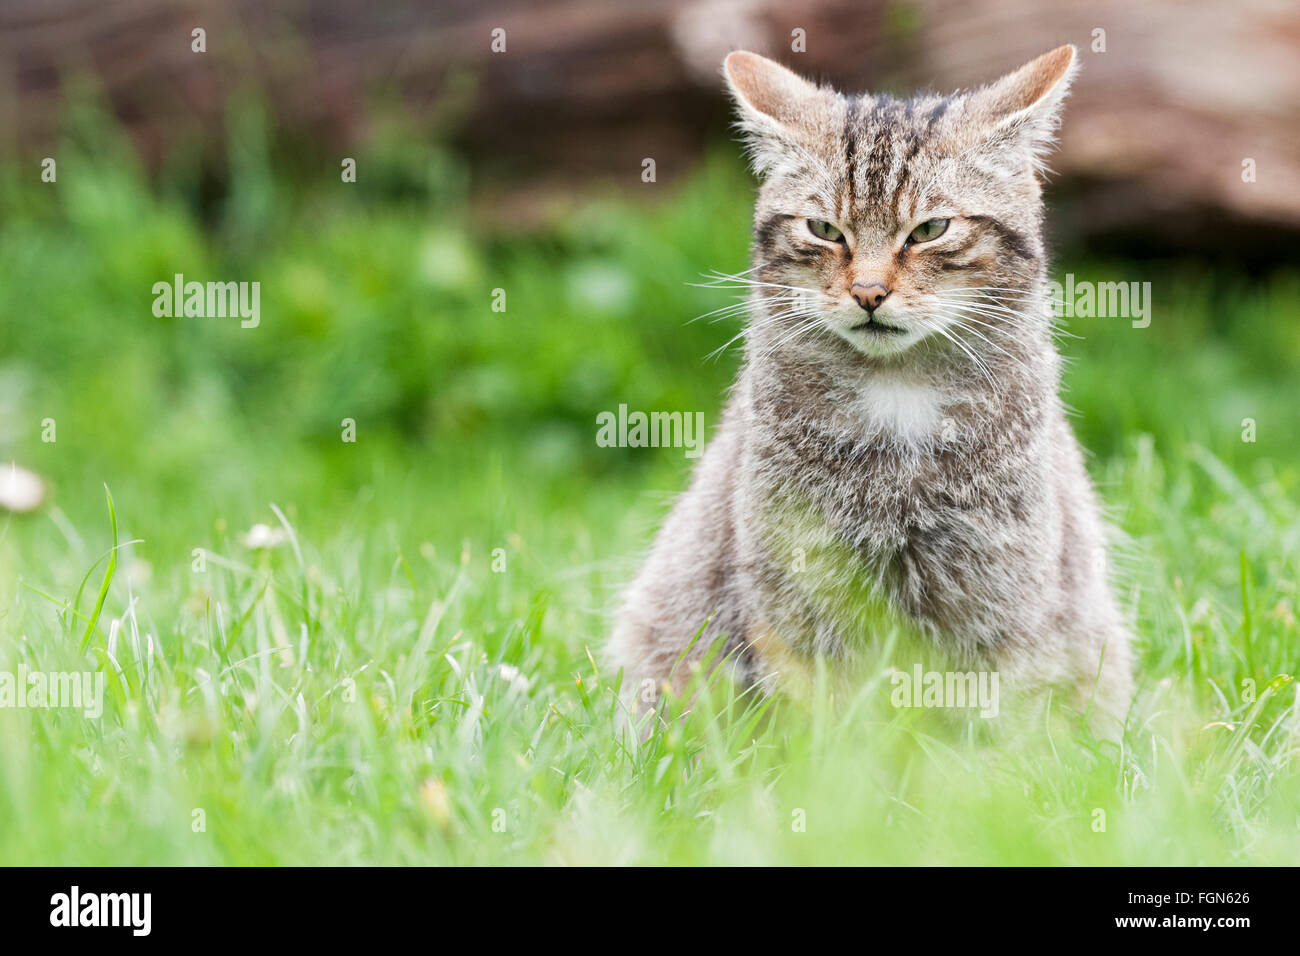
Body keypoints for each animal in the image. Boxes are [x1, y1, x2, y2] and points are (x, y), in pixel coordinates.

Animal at [603, 42, 1133, 733]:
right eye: (825, 230)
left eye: (930, 229)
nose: (868, 292)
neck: (897, 394)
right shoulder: (796, 596)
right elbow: (825, 724)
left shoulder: (1001, 596)